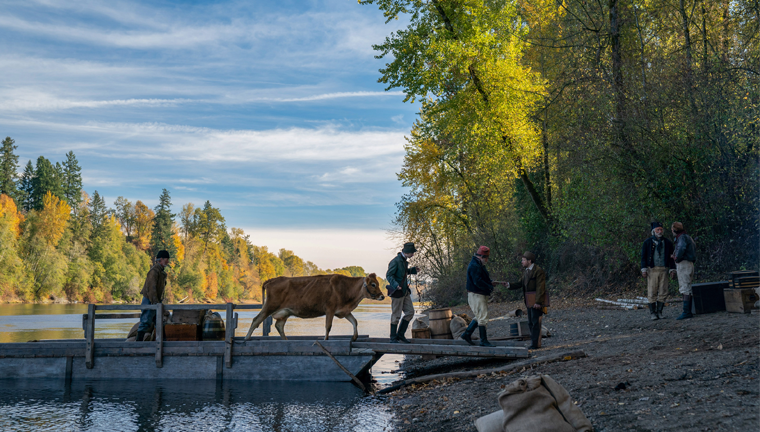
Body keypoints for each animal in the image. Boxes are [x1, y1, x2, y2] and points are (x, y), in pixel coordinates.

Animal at [245, 274, 382, 340]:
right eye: (373, 284)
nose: (382, 296)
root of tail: (271, 280)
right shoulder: (330, 309)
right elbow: (328, 326)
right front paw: (325, 339)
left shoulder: (344, 311)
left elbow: (355, 321)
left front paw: (354, 337)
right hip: (270, 306)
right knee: (256, 319)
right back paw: (246, 338)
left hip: (284, 312)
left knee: (279, 326)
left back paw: (286, 340)